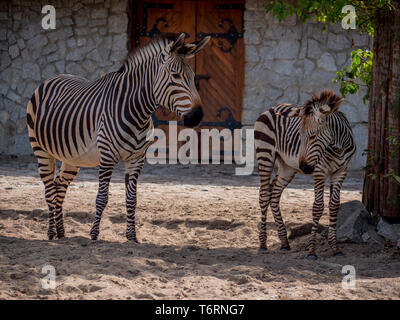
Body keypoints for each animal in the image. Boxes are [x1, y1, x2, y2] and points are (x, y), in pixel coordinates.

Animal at [26, 33, 211, 241]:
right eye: (175, 76)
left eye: (193, 77)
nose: (197, 116)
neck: (137, 112)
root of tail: (52, 78)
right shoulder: (107, 157)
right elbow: (102, 198)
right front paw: (94, 234)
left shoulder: (136, 159)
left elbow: (132, 199)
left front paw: (132, 236)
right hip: (41, 149)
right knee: (49, 189)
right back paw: (51, 233)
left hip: (71, 157)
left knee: (59, 186)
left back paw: (61, 232)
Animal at [255, 90, 354, 260]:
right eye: (299, 136)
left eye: (313, 136)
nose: (304, 167)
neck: (338, 147)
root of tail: (271, 108)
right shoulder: (319, 171)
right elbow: (318, 207)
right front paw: (312, 251)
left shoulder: (340, 172)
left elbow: (334, 205)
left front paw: (335, 248)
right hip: (265, 154)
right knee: (264, 194)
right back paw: (263, 243)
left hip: (287, 167)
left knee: (274, 194)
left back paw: (284, 242)